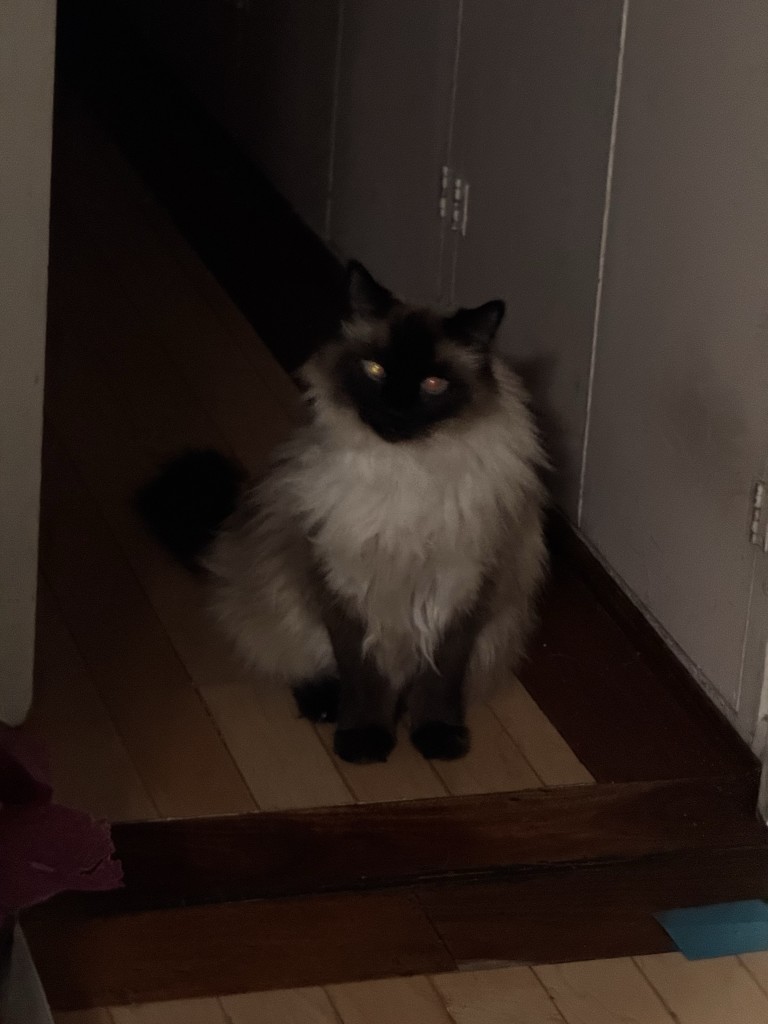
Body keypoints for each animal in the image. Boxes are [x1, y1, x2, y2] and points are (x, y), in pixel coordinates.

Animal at [138, 260, 548, 765]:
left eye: (433, 384)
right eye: (374, 369)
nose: (394, 410)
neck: (407, 473)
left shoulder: (460, 593)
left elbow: (439, 683)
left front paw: (437, 738)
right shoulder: (345, 587)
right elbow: (362, 677)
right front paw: (364, 744)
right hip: (284, 598)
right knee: (297, 657)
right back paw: (324, 706)